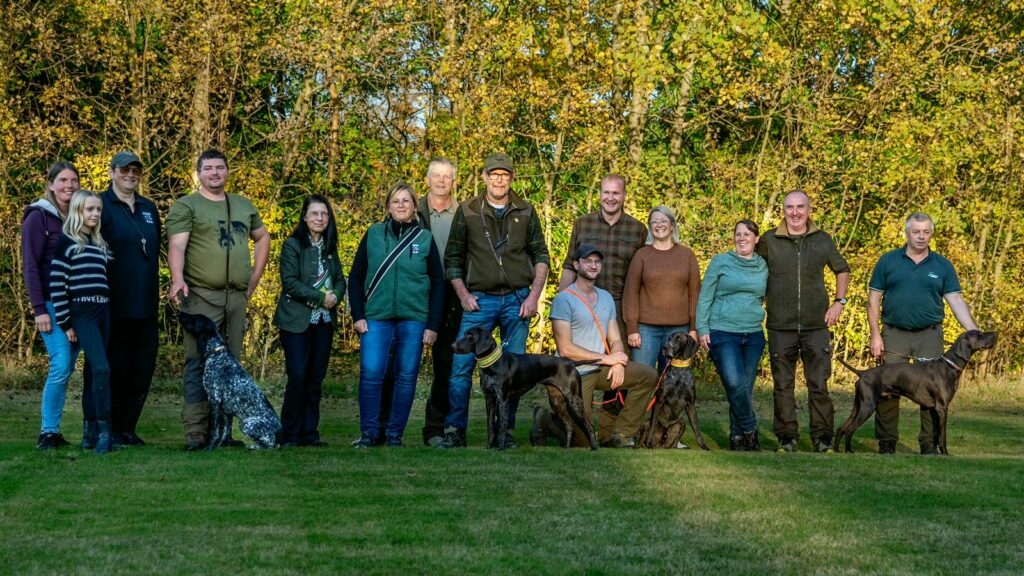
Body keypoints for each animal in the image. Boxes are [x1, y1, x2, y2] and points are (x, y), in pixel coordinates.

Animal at [178, 312, 281, 449]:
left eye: (194, 317)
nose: (179, 313)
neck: (217, 354)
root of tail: (280, 430)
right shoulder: (226, 410)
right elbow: (225, 431)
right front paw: (221, 445)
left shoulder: (214, 399)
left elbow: (214, 430)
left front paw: (209, 447)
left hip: (246, 424)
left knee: (270, 445)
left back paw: (252, 447)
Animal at [453, 327, 597, 450]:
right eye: (465, 334)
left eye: (470, 335)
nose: (452, 345)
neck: (493, 364)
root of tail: (571, 363)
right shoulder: (489, 399)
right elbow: (490, 426)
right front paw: (489, 448)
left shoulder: (503, 400)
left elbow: (502, 426)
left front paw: (501, 448)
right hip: (556, 402)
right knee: (569, 424)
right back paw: (567, 447)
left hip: (574, 399)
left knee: (589, 425)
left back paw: (594, 447)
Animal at [833, 330, 998, 455]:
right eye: (979, 335)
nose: (996, 333)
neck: (949, 366)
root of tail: (862, 373)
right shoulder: (942, 408)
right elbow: (943, 435)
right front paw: (945, 453)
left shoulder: (935, 409)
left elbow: (936, 433)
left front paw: (935, 452)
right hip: (868, 406)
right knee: (850, 429)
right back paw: (849, 451)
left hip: (858, 405)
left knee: (841, 428)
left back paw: (835, 450)